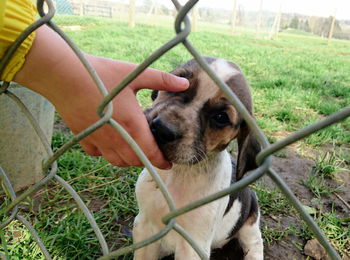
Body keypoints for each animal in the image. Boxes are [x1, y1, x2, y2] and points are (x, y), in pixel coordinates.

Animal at [133, 57, 262, 260]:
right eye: (179, 84)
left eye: (221, 117)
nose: (162, 130)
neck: (179, 172)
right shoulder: (144, 224)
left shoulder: (193, 244)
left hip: (251, 219)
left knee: (255, 243)